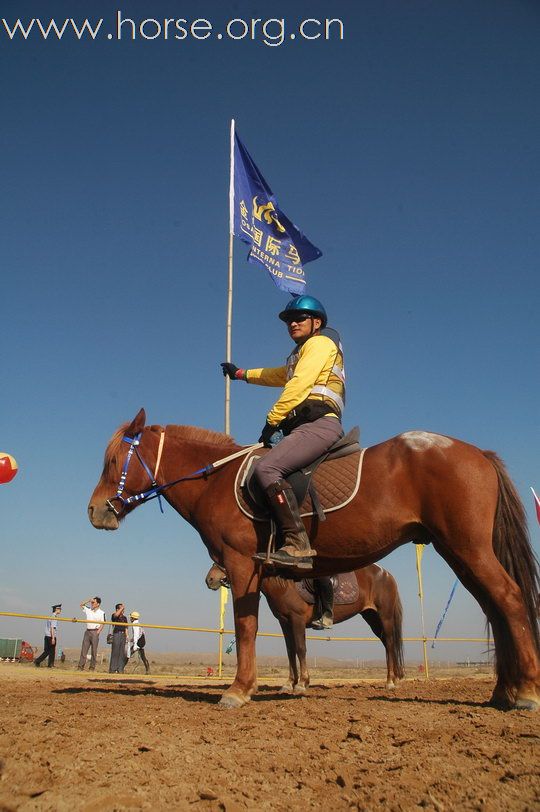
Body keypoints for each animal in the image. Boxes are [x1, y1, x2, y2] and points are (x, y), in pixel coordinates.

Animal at [207, 564, 404, 692]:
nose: (210, 579)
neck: (284, 583)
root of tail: (387, 575)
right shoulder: (285, 623)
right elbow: (290, 651)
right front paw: (289, 683)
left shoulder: (297, 620)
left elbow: (301, 648)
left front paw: (302, 683)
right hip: (372, 617)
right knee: (387, 645)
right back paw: (393, 679)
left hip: (385, 617)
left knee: (390, 644)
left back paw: (390, 682)